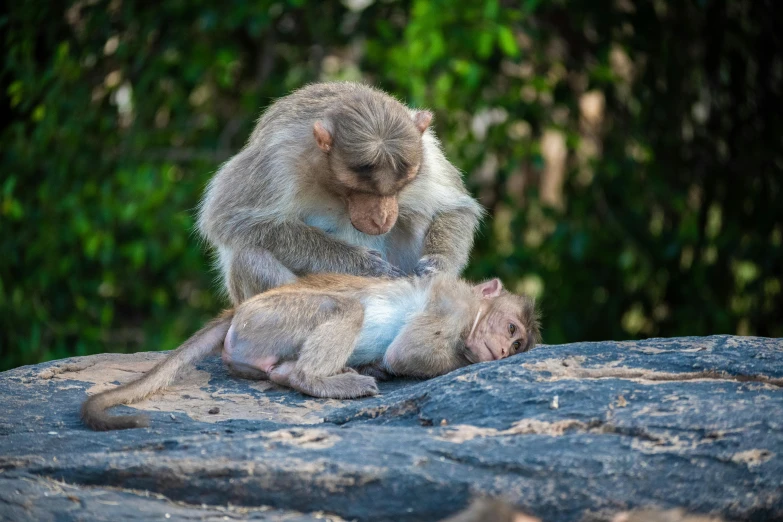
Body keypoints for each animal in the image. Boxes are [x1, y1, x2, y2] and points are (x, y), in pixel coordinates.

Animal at [82, 274, 544, 428]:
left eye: (517, 344)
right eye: (511, 329)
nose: (504, 350)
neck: (475, 312)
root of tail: (238, 309)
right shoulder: (453, 306)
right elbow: (407, 353)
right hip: (270, 317)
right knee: (345, 308)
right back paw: (314, 378)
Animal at [199, 80, 480, 300]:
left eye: (399, 187)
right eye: (358, 188)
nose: (381, 218)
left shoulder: (427, 154)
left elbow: (455, 208)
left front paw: (438, 267)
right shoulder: (277, 161)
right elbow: (229, 219)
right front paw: (365, 265)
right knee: (249, 256)